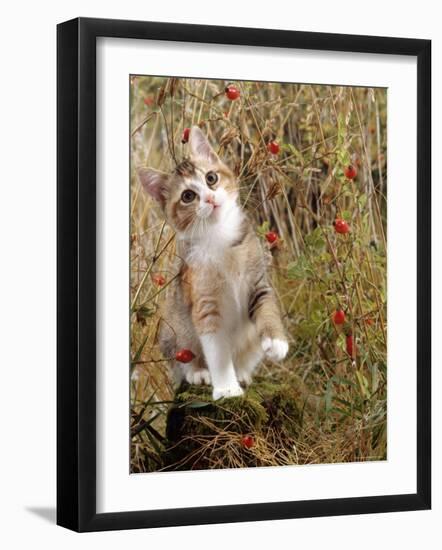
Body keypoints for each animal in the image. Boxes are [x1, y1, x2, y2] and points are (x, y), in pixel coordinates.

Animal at [139, 126, 290, 398]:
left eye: (211, 178)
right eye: (188, 196)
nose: (209, 198)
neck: (219, 236)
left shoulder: (258, 282)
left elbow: (267, 308)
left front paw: (276, 341)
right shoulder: (205, 303)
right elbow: (217, 351)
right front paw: (227, 388)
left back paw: (242, 373)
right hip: (173, 329)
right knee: (180, 360)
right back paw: (198, 372)